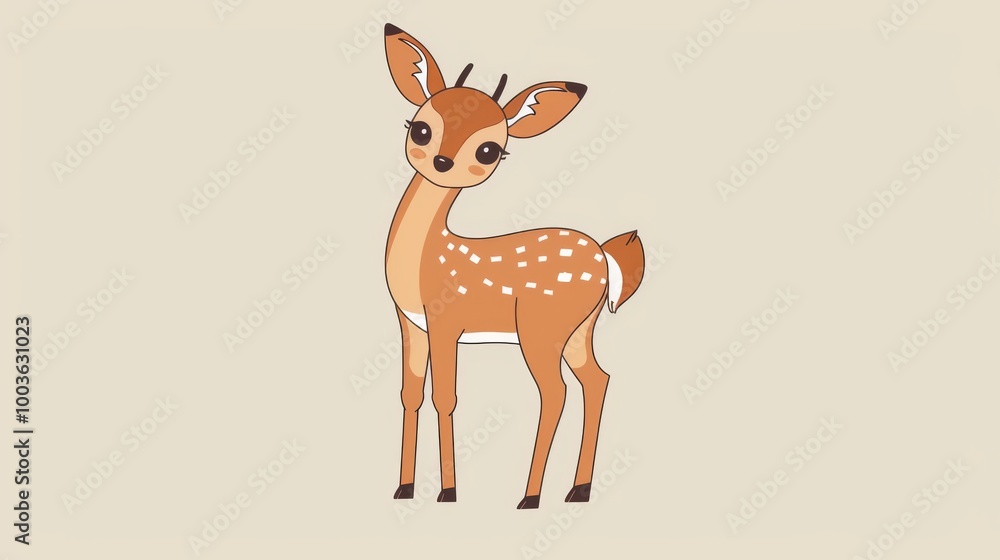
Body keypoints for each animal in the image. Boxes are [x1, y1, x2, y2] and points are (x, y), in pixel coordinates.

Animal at [382, 23, 645, 509]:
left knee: (556, 392)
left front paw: (448, 492)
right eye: (420, 127)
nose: (442, 162)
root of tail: (605, 255)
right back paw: (578, 490)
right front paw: (404, 488)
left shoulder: (446, 321)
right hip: (579, 329)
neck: (426, 258)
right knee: (597, 379)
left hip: (542, 326)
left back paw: (531, 496)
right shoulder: (409, 322)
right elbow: (410, 394)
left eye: (490, 150)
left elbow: (445, 397)